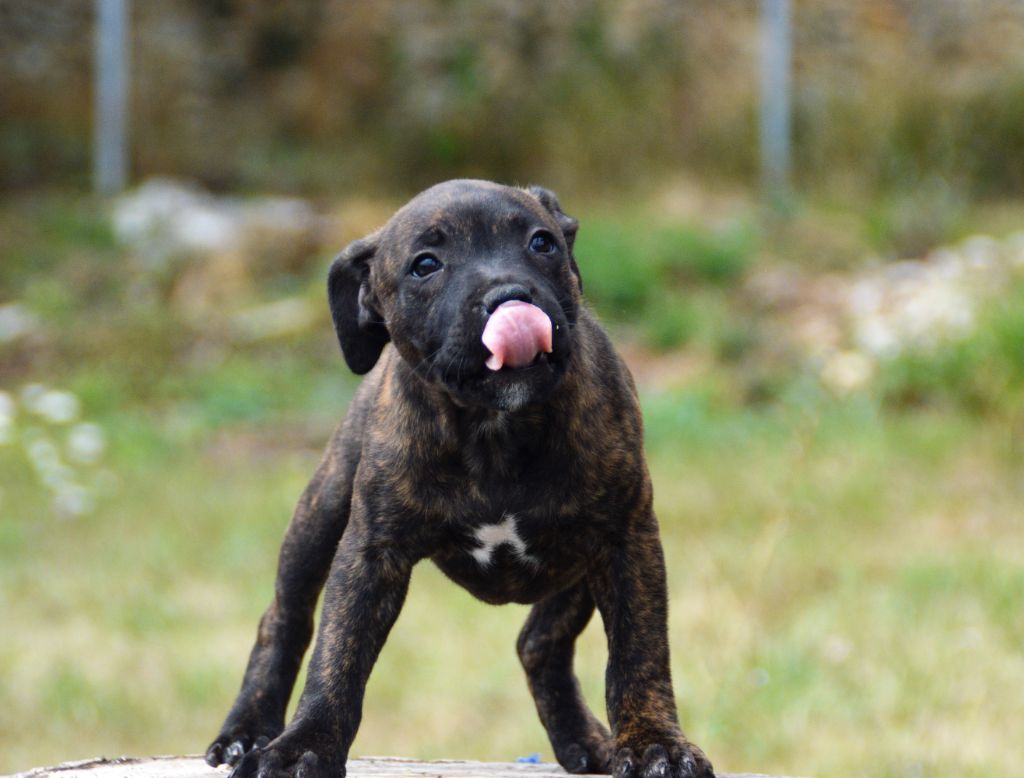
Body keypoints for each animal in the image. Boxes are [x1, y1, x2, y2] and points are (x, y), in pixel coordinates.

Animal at [205, 180, 714, 778]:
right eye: (426, 265)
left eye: (541, 242)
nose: (509, 295)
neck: (494, 429)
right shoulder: (370, 552)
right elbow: (339, 653)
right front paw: (305, 744)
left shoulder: (624, 539)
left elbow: (639, 653)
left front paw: (656, 743)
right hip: (321, 513)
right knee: (284, 620)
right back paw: (246, 731)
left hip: (577, 566)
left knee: (538, 642)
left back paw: (584, 740)